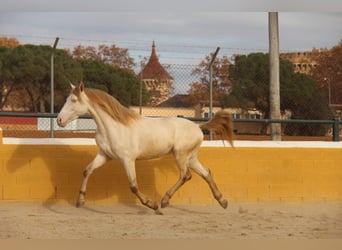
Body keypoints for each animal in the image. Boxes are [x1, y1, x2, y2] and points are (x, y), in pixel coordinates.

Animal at [58, 83, 235, 214]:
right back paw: (223, 201)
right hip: (190, 157)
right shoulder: (104, 155)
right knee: (206, 172)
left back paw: (164, 201)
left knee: (186, 175)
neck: (114, 126)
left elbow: (133, 186)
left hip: (181, 155)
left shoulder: (127, 160)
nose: (59, 120)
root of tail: (198, 127)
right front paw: (80, 201)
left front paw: (152, 205)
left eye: (73, 100)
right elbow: (87, 170)